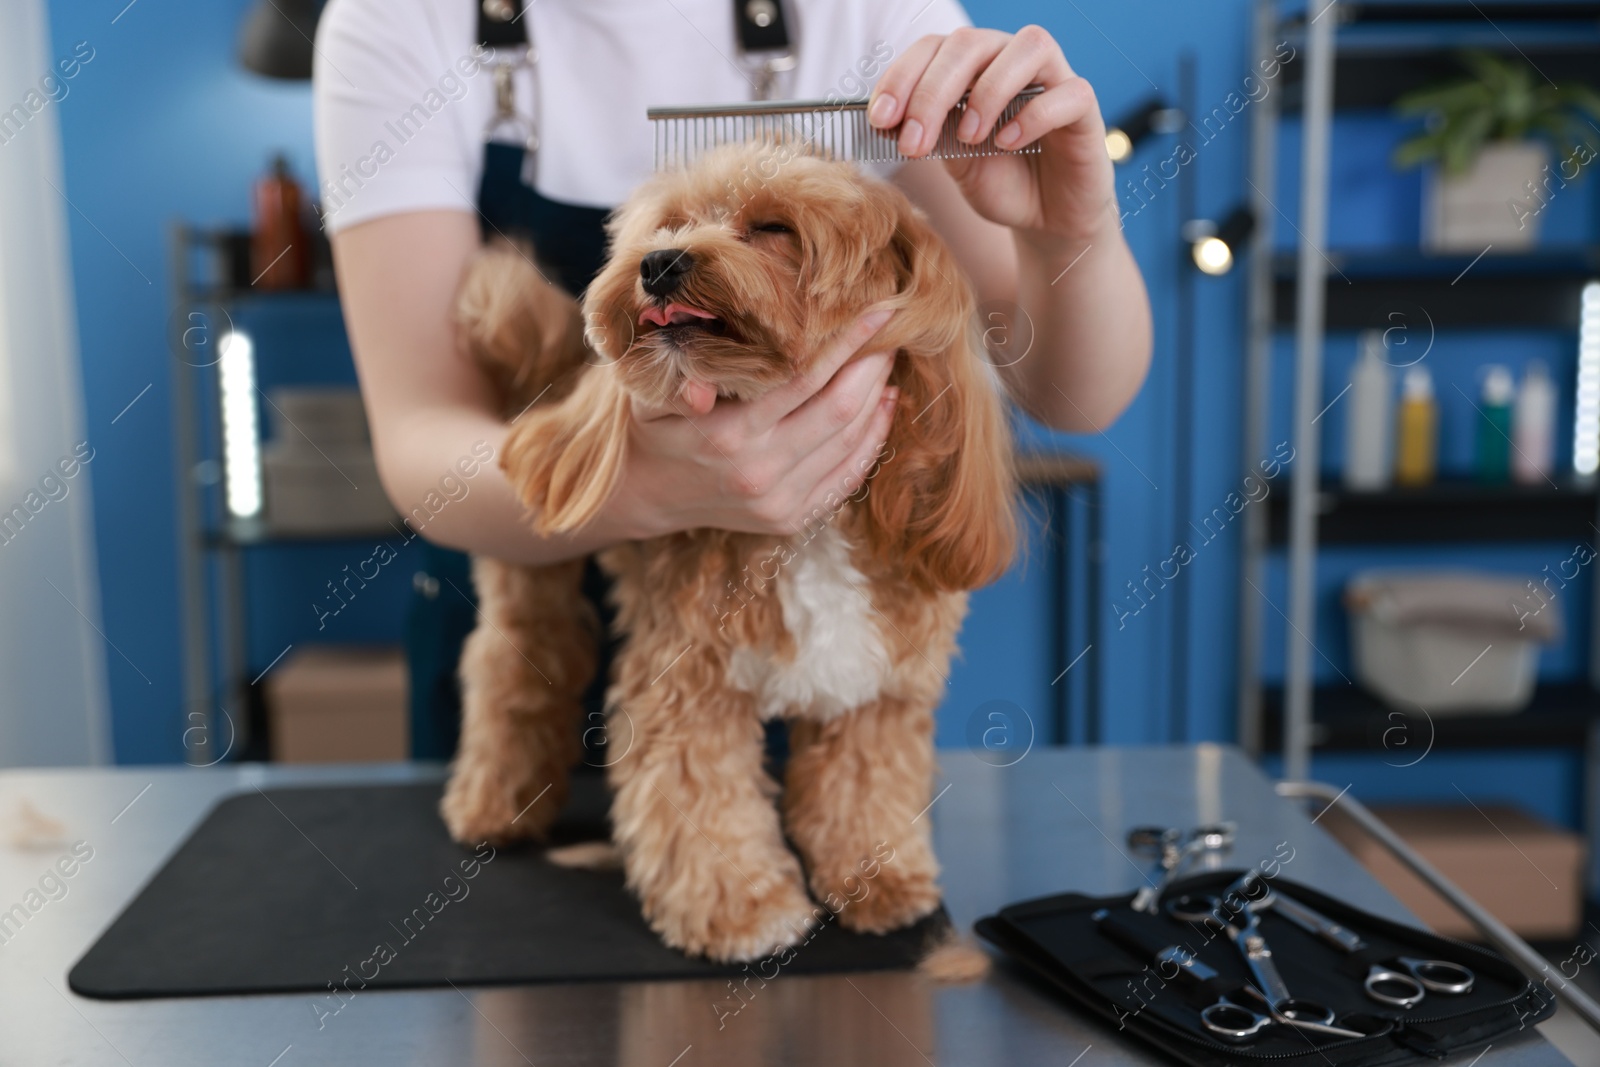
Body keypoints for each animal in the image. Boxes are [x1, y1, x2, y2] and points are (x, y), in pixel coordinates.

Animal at [441, 141, 1011, 959]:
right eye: (668, 224)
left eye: (774, 229)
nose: (659, 263)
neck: (808, 528)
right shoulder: (688, 681)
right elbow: (699, 801)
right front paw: (745, 913)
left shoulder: (878, 688)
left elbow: (864, 791)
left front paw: (879, 881)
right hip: (534, 582)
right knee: (511, 672)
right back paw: (494, 807)